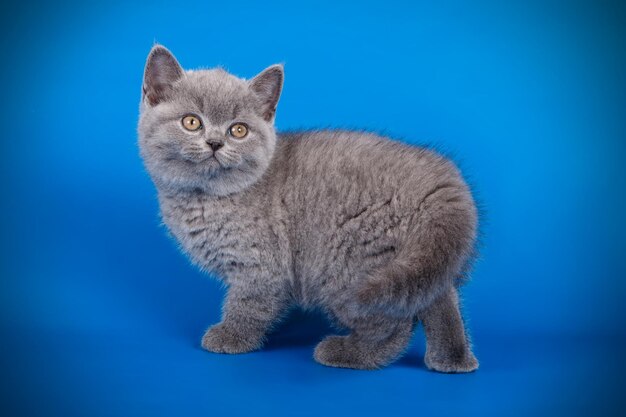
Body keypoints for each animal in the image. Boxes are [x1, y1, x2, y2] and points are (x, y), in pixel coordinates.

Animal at [138, 44, 478, 370]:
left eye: (238, 130)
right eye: (191, 122)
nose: (214, 143)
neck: (206, 197)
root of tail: (440, 182)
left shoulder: (261, 265)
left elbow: (249, 303)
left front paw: (232, 337)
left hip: (349, 265)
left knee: (394, 325)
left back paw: (346, 353)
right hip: (424, 257)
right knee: (436, 294)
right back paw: (452, 360)